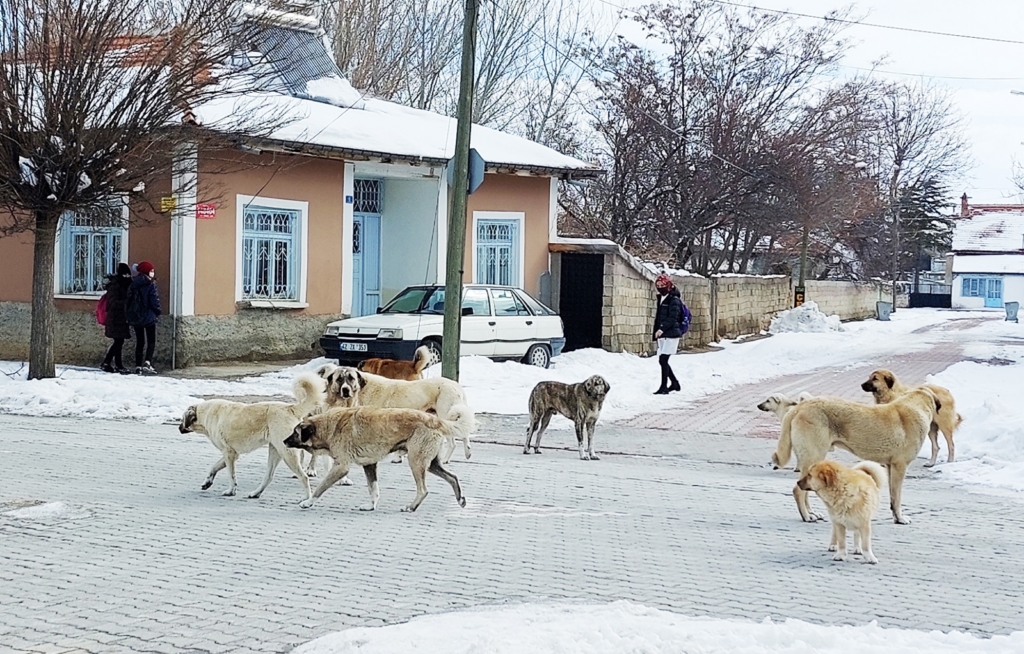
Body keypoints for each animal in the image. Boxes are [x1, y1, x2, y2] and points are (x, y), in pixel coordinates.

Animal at [178, 372, 325, 501]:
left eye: (182, 419)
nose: (179, 428)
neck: (204, 413)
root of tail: (291, 408)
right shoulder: (232, 454)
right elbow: (214, 467)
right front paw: (207, 482)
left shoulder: (229, 453)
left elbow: (231, 475)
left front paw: (231, 491)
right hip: (275, 450)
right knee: (269, 476)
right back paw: (255, 493)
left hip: (287, 454)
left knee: (303, 477)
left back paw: (306, 498)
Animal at [280, 407, 471, 513]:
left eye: (295, 433)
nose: (283, 441)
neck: (329, 426)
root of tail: (434, 419)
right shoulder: (369, 465)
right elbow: (374, 489)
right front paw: (371, 506)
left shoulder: (341, 467)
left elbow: (320, 487)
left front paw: (308, 502)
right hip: (431, 464)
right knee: (453, 477)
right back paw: (460, 499)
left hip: (416, 462)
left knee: (423, 490)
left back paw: (411, 507)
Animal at [770, 388, 937, 528]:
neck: (916, 406)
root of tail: (800, 407)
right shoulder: (899, 467)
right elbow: (897, 498)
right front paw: (900, 519)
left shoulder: (890, 468)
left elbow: (892, 497)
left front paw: (896, 518)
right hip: (814, 456)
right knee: (798, 491)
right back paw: (806, 516)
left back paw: (812, 513)